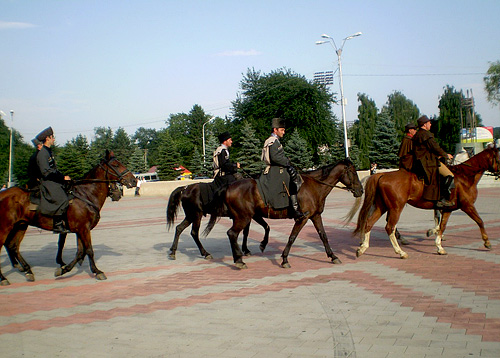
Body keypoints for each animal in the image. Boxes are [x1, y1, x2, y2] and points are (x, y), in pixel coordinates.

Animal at [0, 151, 137, 286]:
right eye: (116, 164)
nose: (134, 180)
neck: (86, 195)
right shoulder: (83, 229)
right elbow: (89, 250)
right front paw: (97, 271)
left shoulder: (81, 229)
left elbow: (80, 252)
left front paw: (64, 269)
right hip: (5, 228)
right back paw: (4, 278)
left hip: (20, 225)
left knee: (13, 246)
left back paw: (27, 270)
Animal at [203, 159, 364, 268]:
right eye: (353, 172)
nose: (360, 190)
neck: (314, 186)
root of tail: (229, 186)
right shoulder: (302, 218)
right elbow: (292, 237)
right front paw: (285, 259)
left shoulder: (315, 216)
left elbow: (323, 236)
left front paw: (333, 256)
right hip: (242, 218)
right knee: (232, 233)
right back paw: (238, 260)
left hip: (246, 217)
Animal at [348, 143, 500, 258]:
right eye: (499, 158)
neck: (465, 177)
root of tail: (381, 175)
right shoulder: (467, 206)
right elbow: (480, 221)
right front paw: (487, 242)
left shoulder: (448, 209)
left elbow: (442, 226)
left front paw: (439, 246)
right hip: (395, 208)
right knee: (389, 227)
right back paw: (400, 252)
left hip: (382, 207)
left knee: (369, 223)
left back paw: (362, 247)